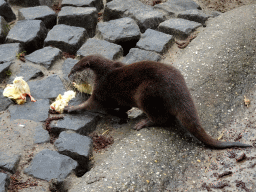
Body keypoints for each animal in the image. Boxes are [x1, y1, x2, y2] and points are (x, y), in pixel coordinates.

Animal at [64, 54, 252, 149]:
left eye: (73, 70)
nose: (67, 75)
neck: (102, 73)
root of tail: (179, 90)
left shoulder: (101, 90)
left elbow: (92, 105)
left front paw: (70, 108)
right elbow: (123, 106)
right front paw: (121, 113)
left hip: (146, 92)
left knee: (162, 119)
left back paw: (143, 122)